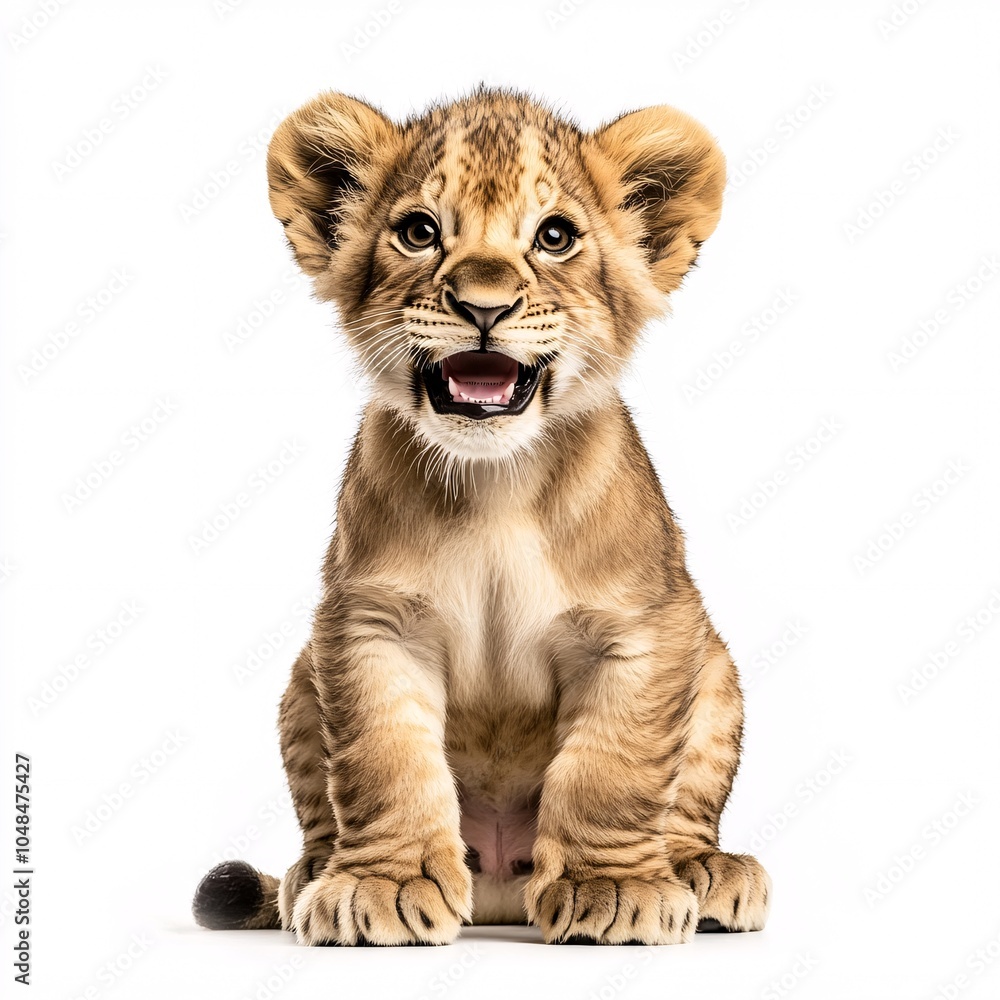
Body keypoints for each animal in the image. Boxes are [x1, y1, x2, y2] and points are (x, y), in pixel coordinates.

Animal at [192, 87, 770, 946]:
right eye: (420, 231)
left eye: (555, 237)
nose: (483, 307)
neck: (497, 482)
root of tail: (500, 891)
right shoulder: (371, 622)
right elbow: (384, 760)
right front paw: (385, 884)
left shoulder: (643, 626)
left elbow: (613, 768)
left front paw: (610, 888)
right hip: (301, 680)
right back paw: (313, 875)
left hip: (717, 668)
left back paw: (704, 871)